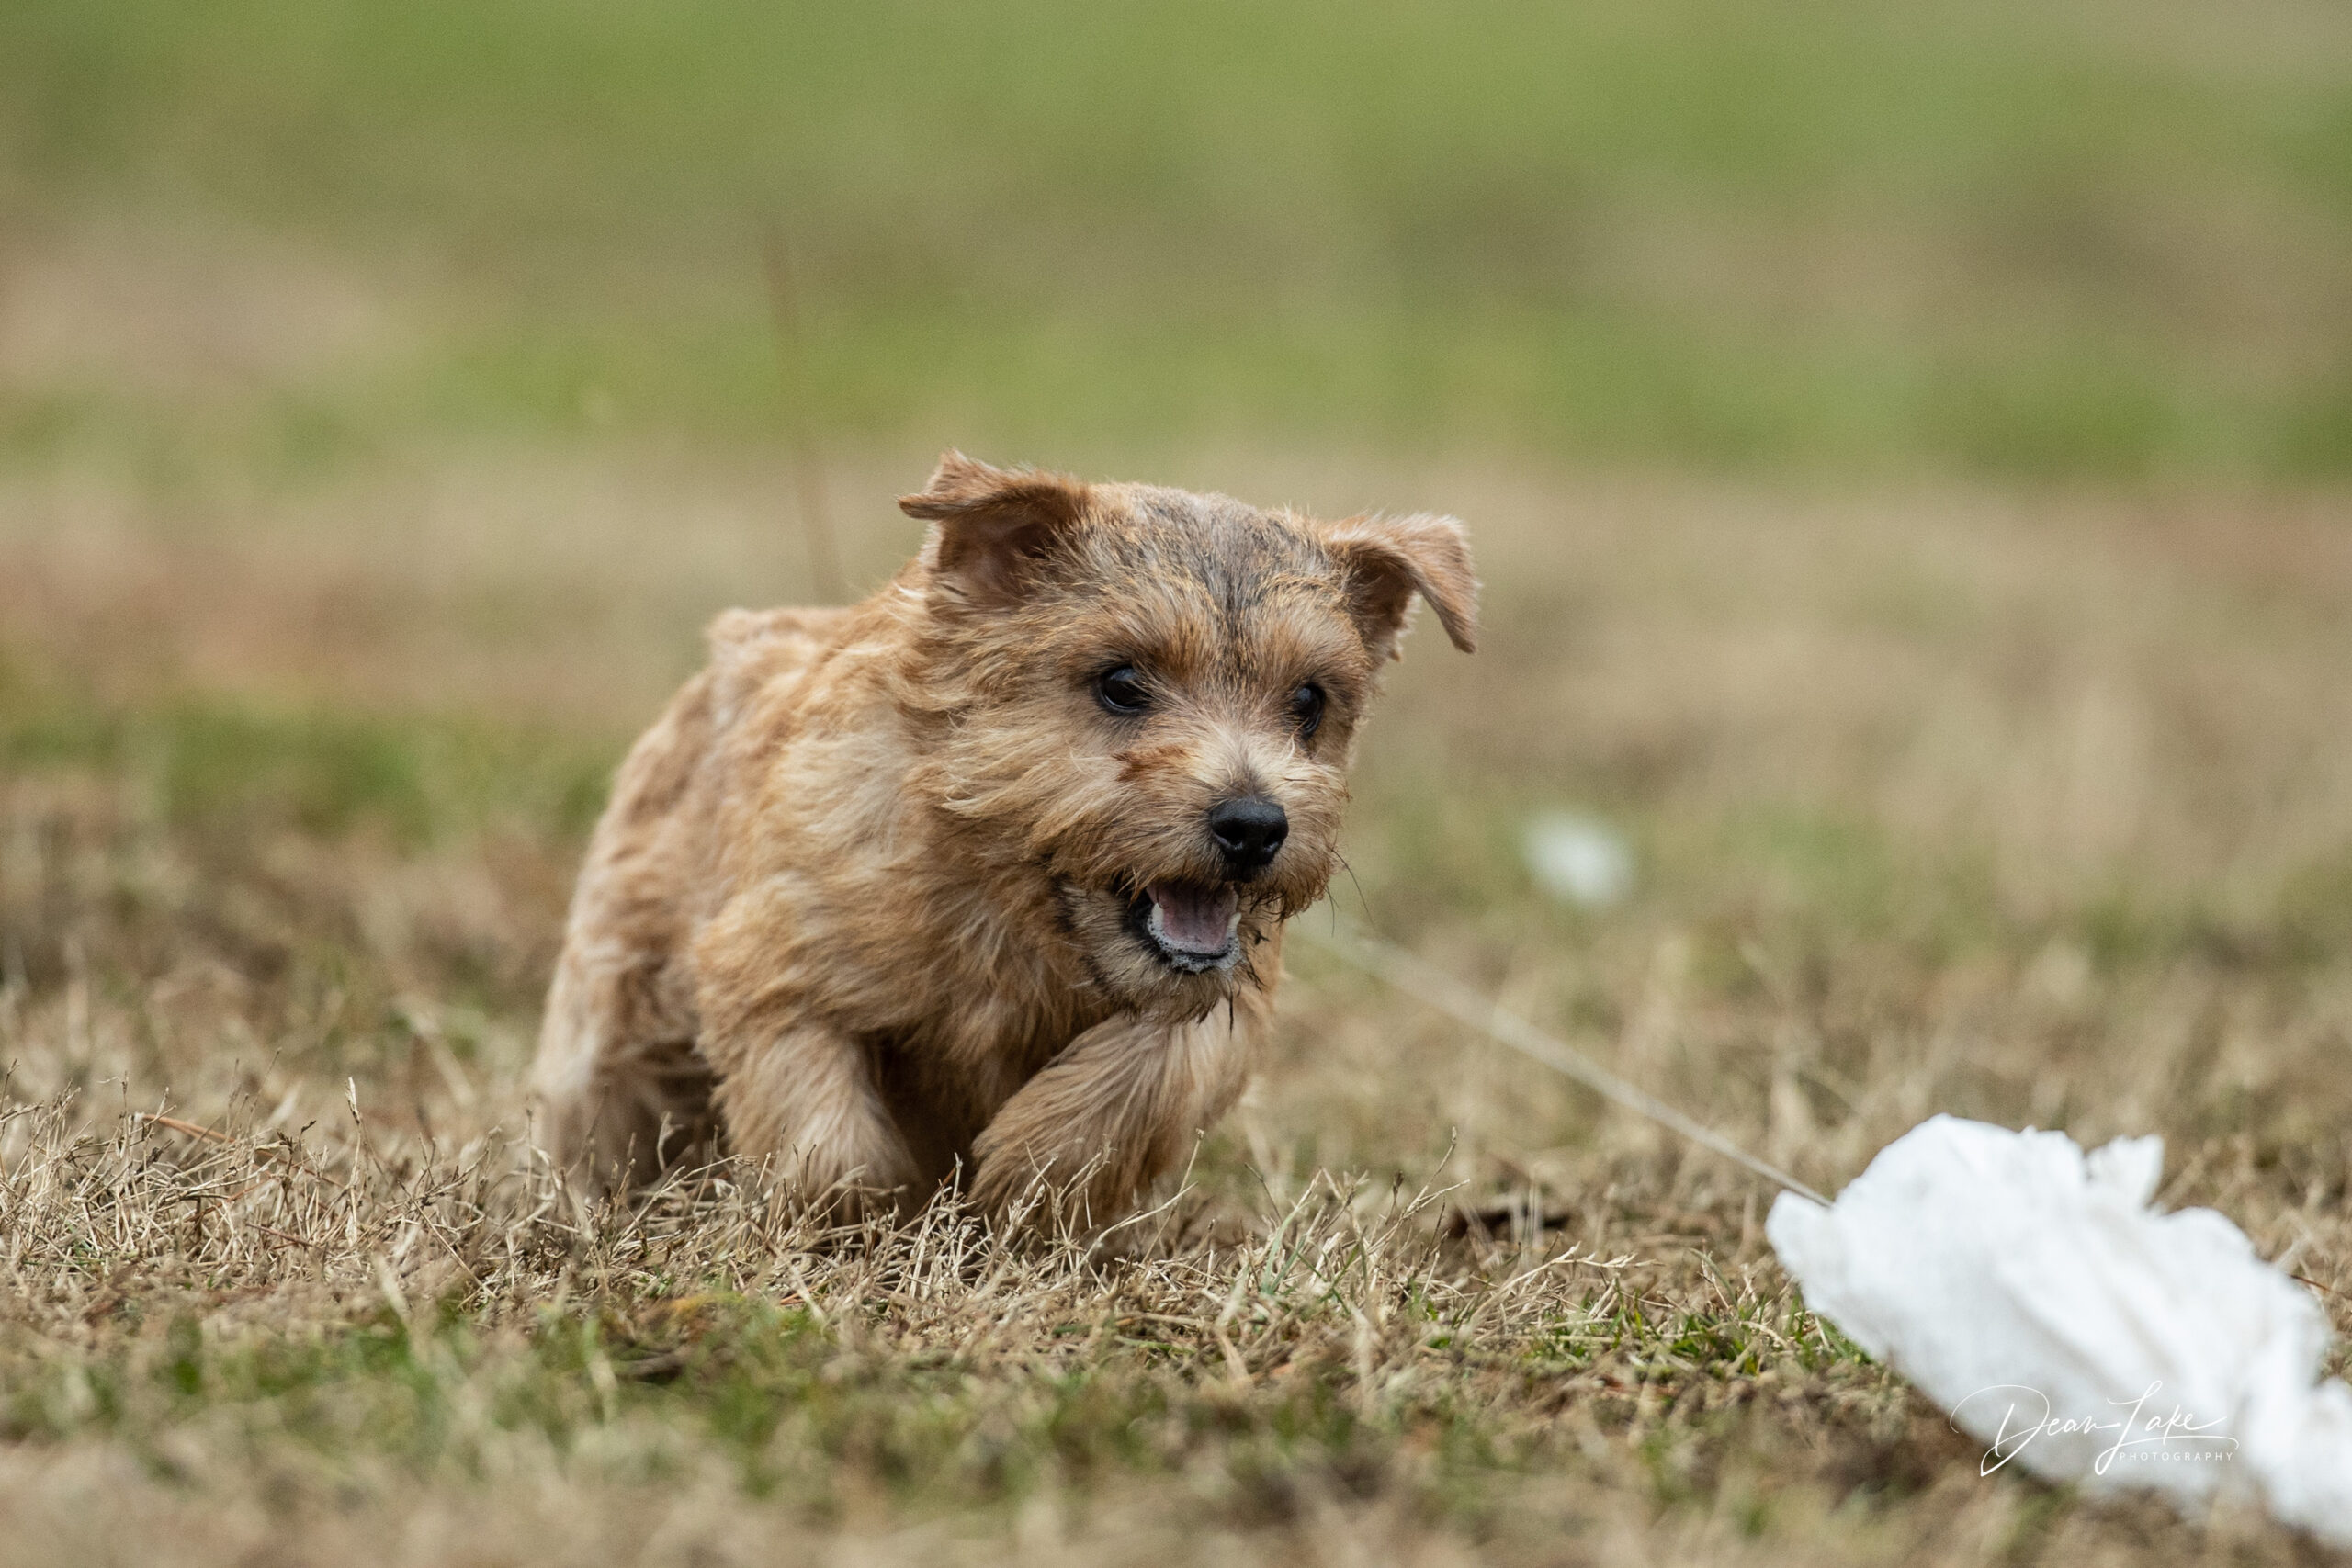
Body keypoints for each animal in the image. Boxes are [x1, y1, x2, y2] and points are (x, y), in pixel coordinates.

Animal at [534, 446, 1467, 1232]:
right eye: (1121, 681)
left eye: (1309, 701)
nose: (1255, 823)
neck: (1013, 907)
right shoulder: (775, 965)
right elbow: (831, 1143)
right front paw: (860, 1222)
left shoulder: (1222, 999)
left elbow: (1135, 1077)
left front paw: (1028, 1176)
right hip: (611, 1014)